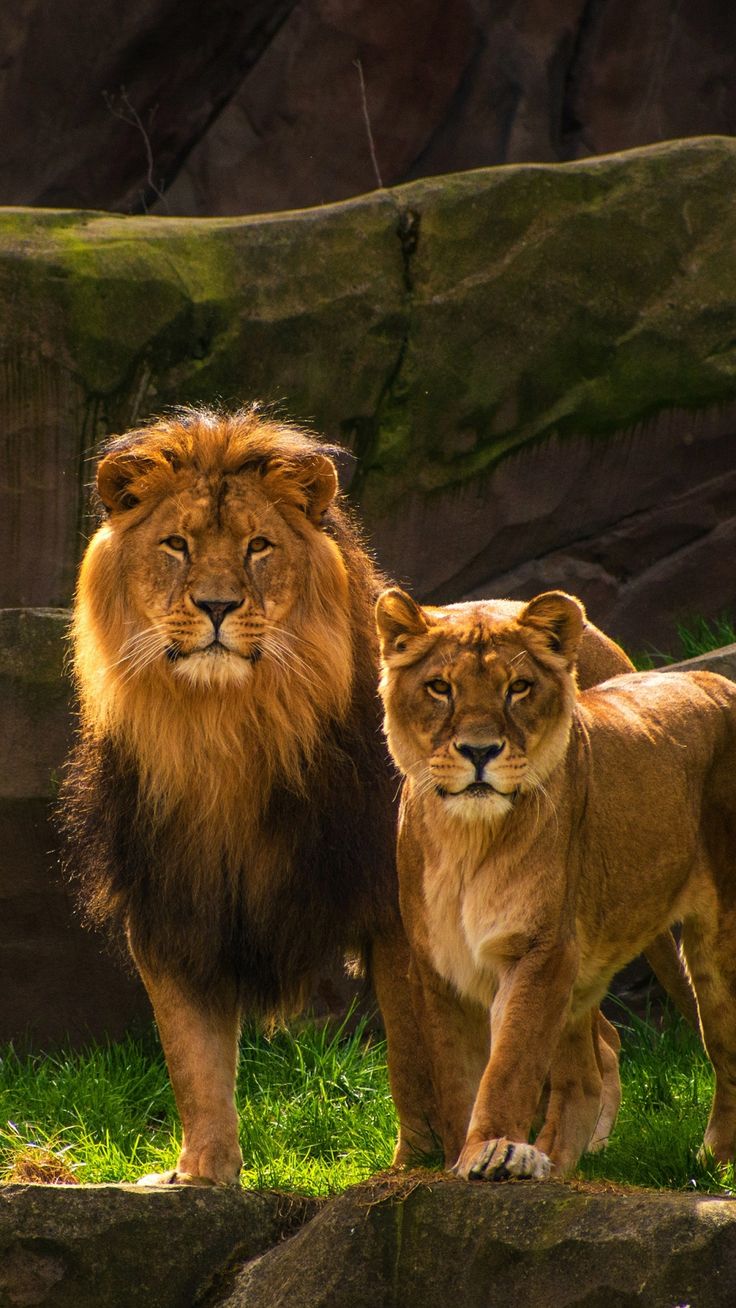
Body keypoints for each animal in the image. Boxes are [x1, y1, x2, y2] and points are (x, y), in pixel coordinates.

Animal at [376, 586, 724, 1180]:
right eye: (440, 687)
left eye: (517, 688)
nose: (479, 752)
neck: (466, 839)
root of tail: (714, 680)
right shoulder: (441, 967)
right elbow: (457, 1079)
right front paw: (462, 1161)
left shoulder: (539, 950)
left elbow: (509, 1066)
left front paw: (492, 1151)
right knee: (584, 1075)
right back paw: (558, 1165)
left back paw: (713, 1158)